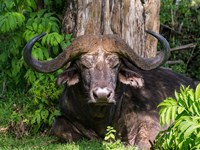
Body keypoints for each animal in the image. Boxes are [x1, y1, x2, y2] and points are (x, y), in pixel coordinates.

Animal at [23, 31, 195, 149]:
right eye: (84, 65)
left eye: (115, 64)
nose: (102, 95)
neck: (101, 117)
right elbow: (58, 126)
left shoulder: (154, 120)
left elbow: (141, 141)